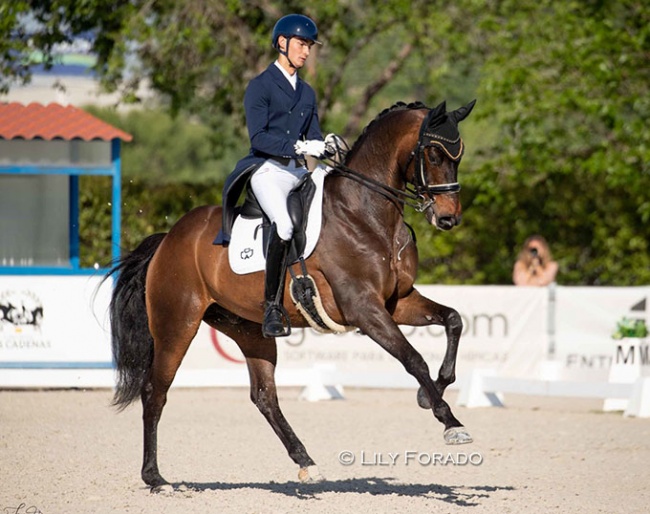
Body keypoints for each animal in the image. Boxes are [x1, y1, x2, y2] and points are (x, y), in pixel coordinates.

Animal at [107, 97, 476, 488]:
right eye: (433, 154)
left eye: (460, 153)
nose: (448, 219)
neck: (365, 213)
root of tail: (169, 238)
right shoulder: (365, 309)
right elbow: (413, 359)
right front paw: (450, 422)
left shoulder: (396, 303)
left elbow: (453, 320)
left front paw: (431, 391)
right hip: (177, 325)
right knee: (155, 391)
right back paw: (154, 477)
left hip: (248, 329)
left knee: (264, 396)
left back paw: (305, 461)